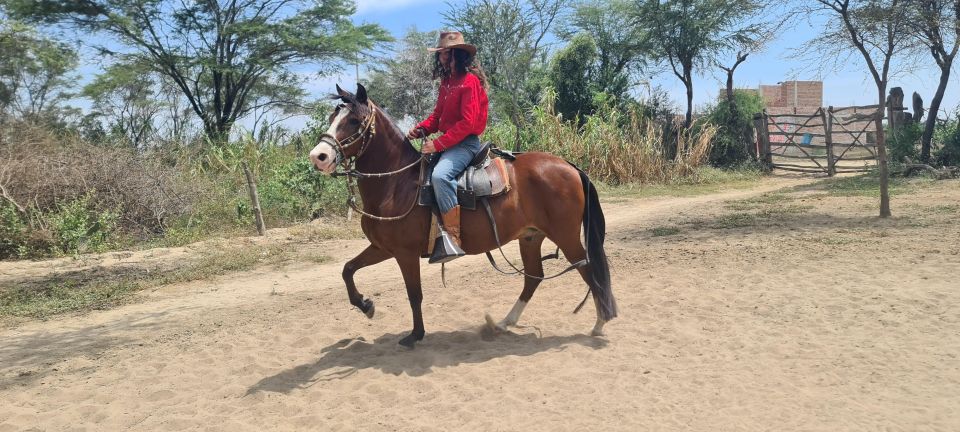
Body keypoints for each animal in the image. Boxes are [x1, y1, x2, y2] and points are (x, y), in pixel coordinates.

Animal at [312, 83, 620, 348]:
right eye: (332, 116)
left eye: (354, 121)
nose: (319, 156)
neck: (397, 183)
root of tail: (570, 166)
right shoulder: (382, 247)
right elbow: (347, 269)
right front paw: (366, 305)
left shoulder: (405, 253)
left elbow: (414, 294)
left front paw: (415, 335)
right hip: (531, 237)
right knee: (533, 278)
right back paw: (504, 323)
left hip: (566, 237)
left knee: (589, 271)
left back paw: (600, 324)